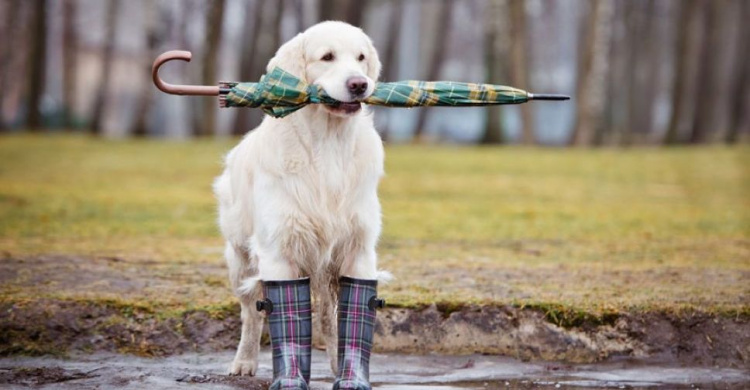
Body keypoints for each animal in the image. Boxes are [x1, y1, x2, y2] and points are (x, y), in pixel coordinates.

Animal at [212, 22, 388, 378]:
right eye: (327, 57)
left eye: (361, 57)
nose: (359, 84)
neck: (329, 144)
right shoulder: (279, 249)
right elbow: (279, 315)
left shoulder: (358, 248)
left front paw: (349, 373)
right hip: (239, 258)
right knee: (251, 313)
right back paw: (244, 361)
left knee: (327, 317)